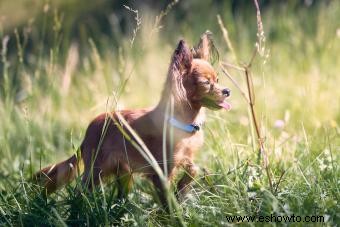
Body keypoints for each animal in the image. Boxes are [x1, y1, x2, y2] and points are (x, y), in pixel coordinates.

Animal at [34, 32, 231, 205]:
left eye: (217, 80)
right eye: (206, 83)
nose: (227, 91)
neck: (184, 123)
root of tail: (89, 129)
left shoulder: (183, 159)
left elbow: (193, 169)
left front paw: (182, 188)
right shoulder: (161, 173)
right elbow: (167, 200)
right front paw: (171, 214)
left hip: (123, 174)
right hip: (97, 171)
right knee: (81, 191)